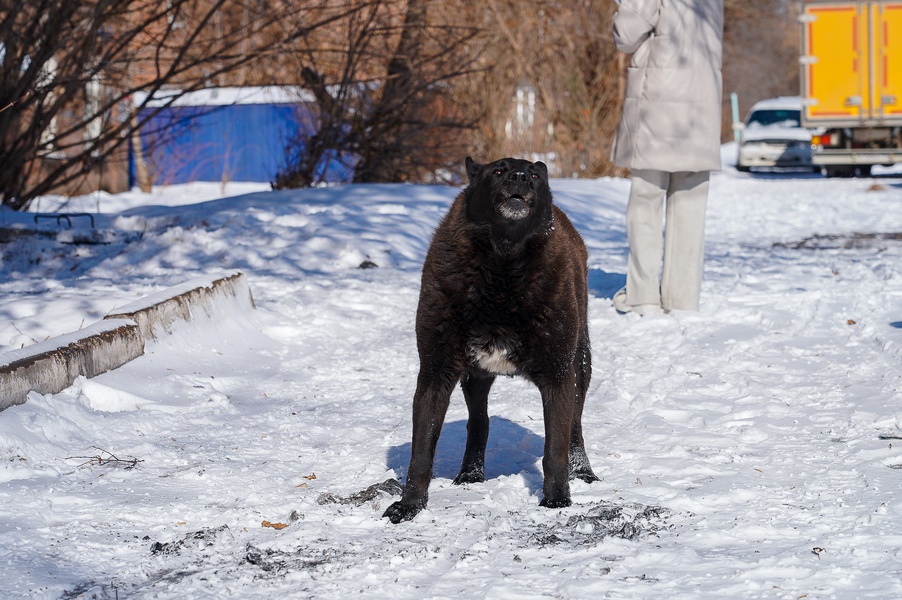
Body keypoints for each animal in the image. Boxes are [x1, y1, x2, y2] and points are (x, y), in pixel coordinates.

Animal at [384, 157, 600, 524]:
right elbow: (421, 453)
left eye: (535, 175)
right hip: (475, 378)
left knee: (575, 426)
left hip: (579, 364)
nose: (521, 177)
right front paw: (410, 505)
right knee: (479, 422)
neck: (503, 263)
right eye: (498, 171)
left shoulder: (558, 375)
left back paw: (583, 471)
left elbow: (554, 448)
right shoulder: (435, 373)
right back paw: (470, 473)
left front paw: (557, 499)